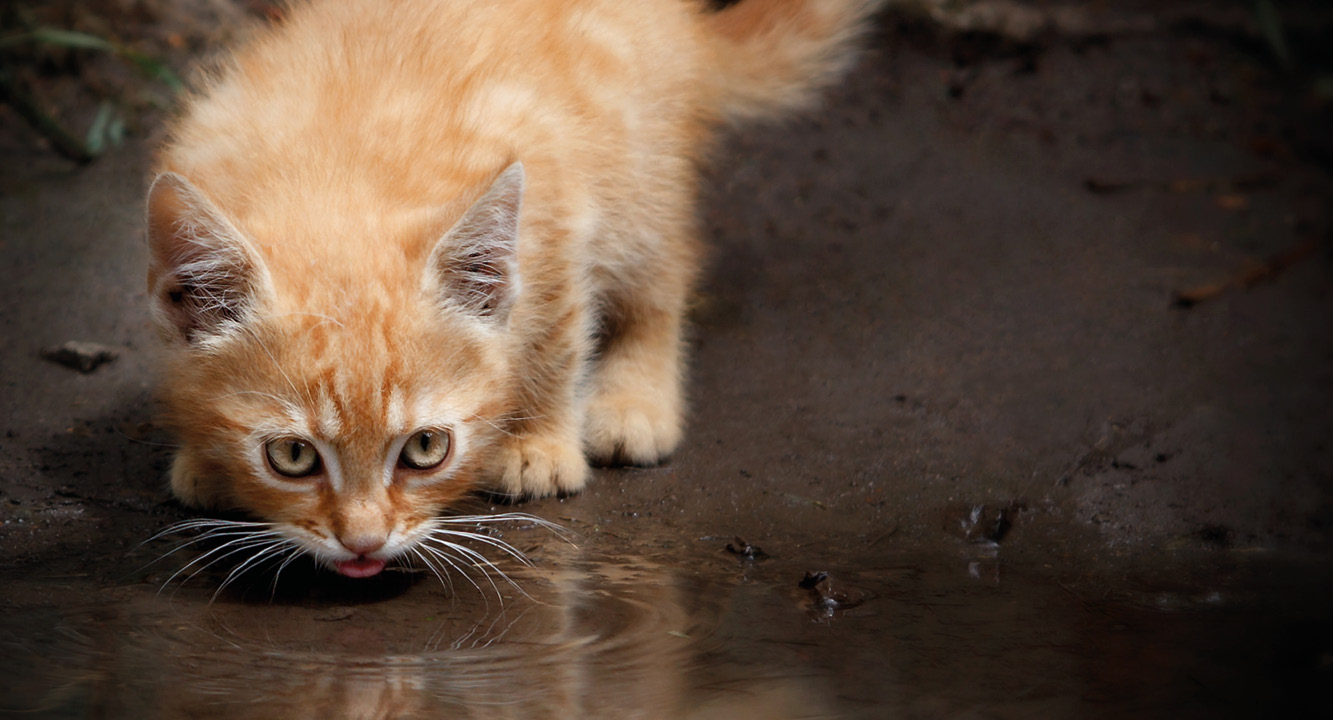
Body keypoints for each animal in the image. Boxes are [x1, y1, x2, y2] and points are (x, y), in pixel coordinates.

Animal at [151, 0, 879, 576]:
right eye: (292, 456)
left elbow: (557, 338)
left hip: (638, 172)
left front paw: (537, 444)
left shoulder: (557, 210)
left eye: (425, 449)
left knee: (663, 275)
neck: (337, 175)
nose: (364, 544)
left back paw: (635, 398)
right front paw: (206, 462)